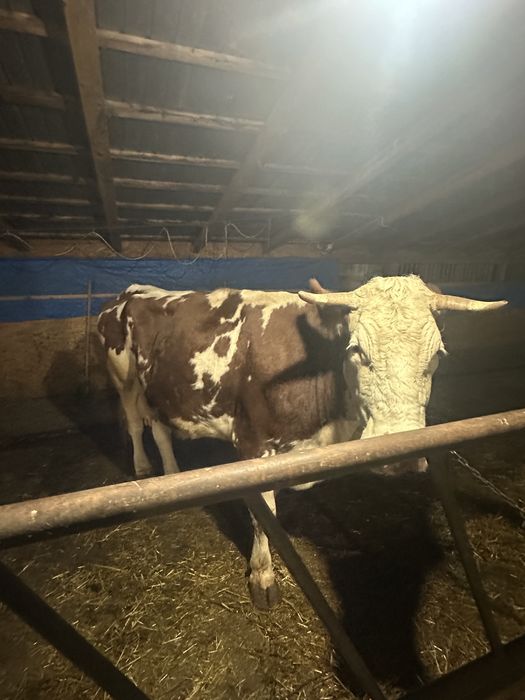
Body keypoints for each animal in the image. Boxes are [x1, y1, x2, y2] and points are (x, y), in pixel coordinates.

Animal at [97, 275, 507, 608]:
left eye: (437, 355)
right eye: (357, 351)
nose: (401, 455)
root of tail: (133, 291)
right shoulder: (252, 446)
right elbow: (263, 518)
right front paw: (263, 577)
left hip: (157, 387)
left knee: (160, 428)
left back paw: (171, 474)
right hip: (123, 377)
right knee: (135, 424)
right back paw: (144, 468)